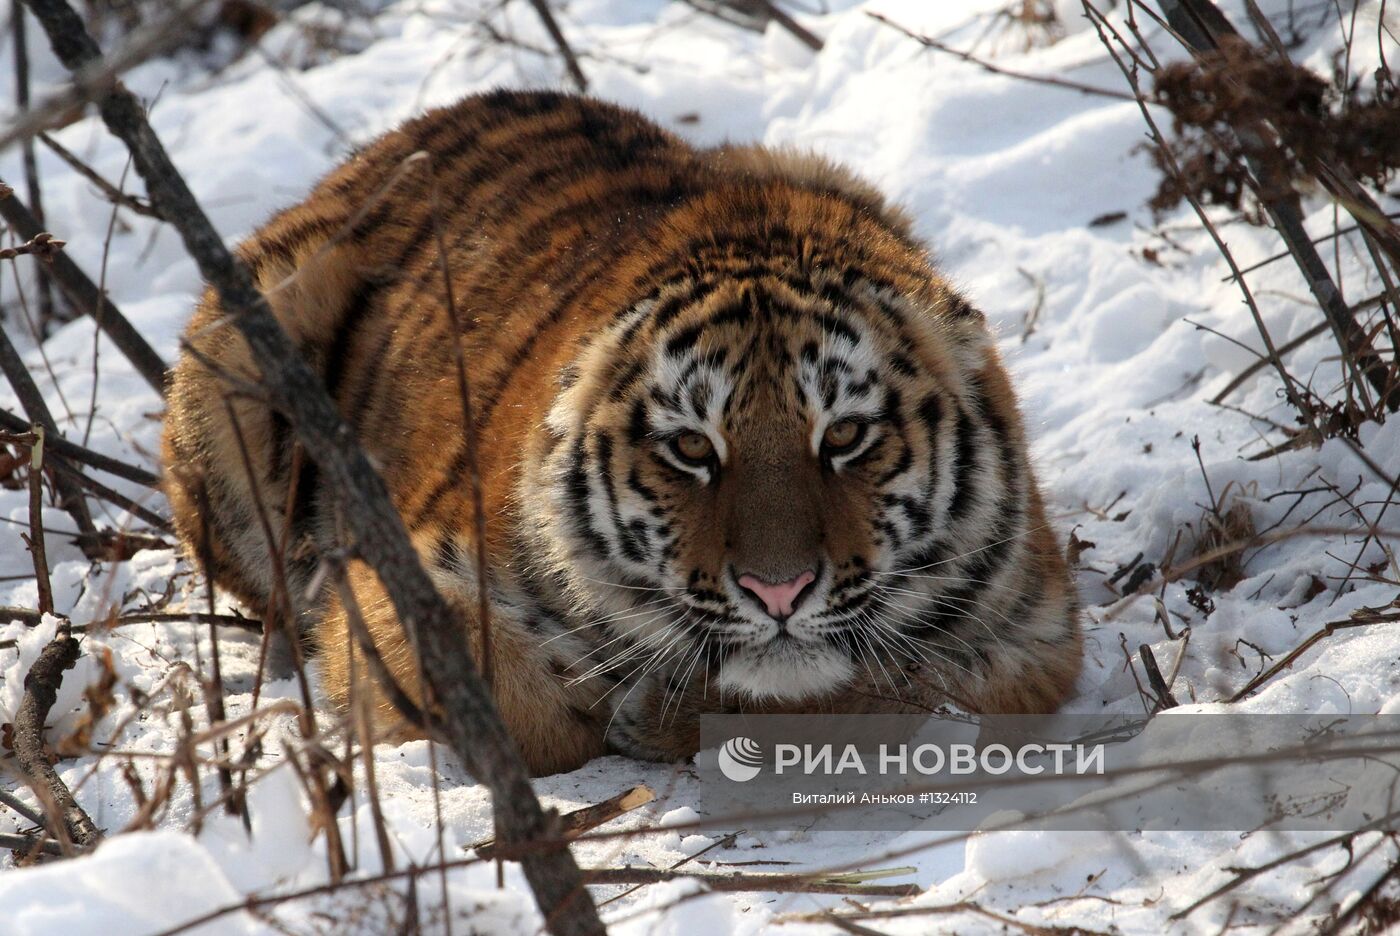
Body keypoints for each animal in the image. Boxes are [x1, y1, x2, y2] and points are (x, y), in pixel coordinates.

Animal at [161, 89, 1080, 772]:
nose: (778, 592)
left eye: (846, 436)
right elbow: (515, 701)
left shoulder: (1035, 635)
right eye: (692, 448)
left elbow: (901, 688)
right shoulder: (402, 575)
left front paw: (672, 712)